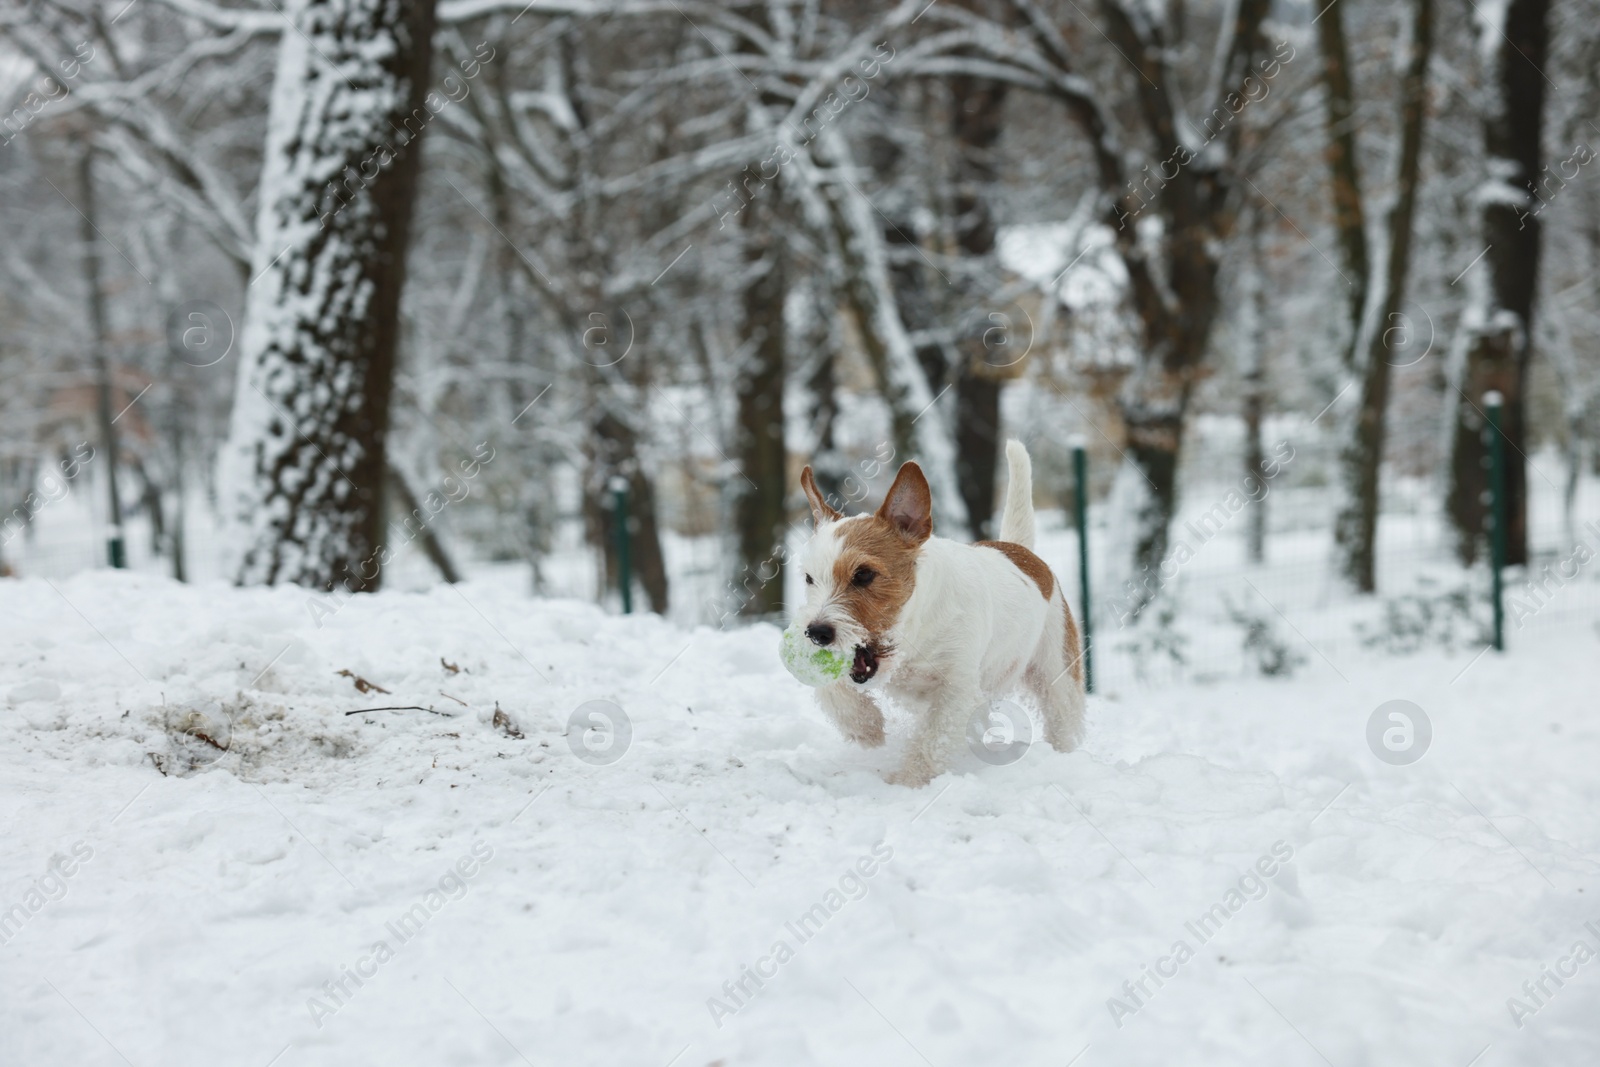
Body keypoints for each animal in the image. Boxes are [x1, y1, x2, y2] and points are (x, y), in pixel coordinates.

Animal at [796, 441, 1088, 783]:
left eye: (864, 574)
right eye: (809, 578)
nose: (816, 633)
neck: (913, 635)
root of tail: (1020, 550)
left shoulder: (957, 690)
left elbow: (933, 740)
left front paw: (908, 782)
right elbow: (832, 688)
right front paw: (865, 727)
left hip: (1056, 674)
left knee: (1062, 719)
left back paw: (1062, 758)